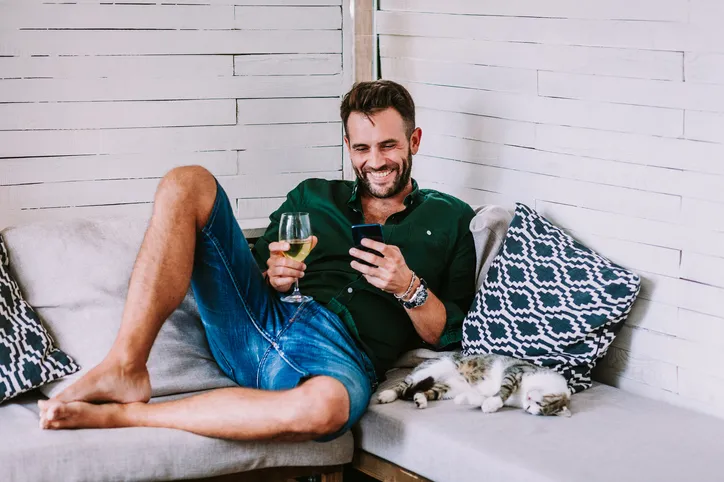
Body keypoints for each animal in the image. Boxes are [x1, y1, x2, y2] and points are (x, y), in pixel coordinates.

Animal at [377, 353, 572, 417]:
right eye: (536, 403)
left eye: (532, 408)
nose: (528, 400)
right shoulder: (516, 371)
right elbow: (505, 389)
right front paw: (494, 403)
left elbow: (481, 398)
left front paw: (476, 402)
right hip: (431, 369)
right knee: (404, 384)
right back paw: (387, 395)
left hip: (448, 388)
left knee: (427, 391)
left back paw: (421, 399)